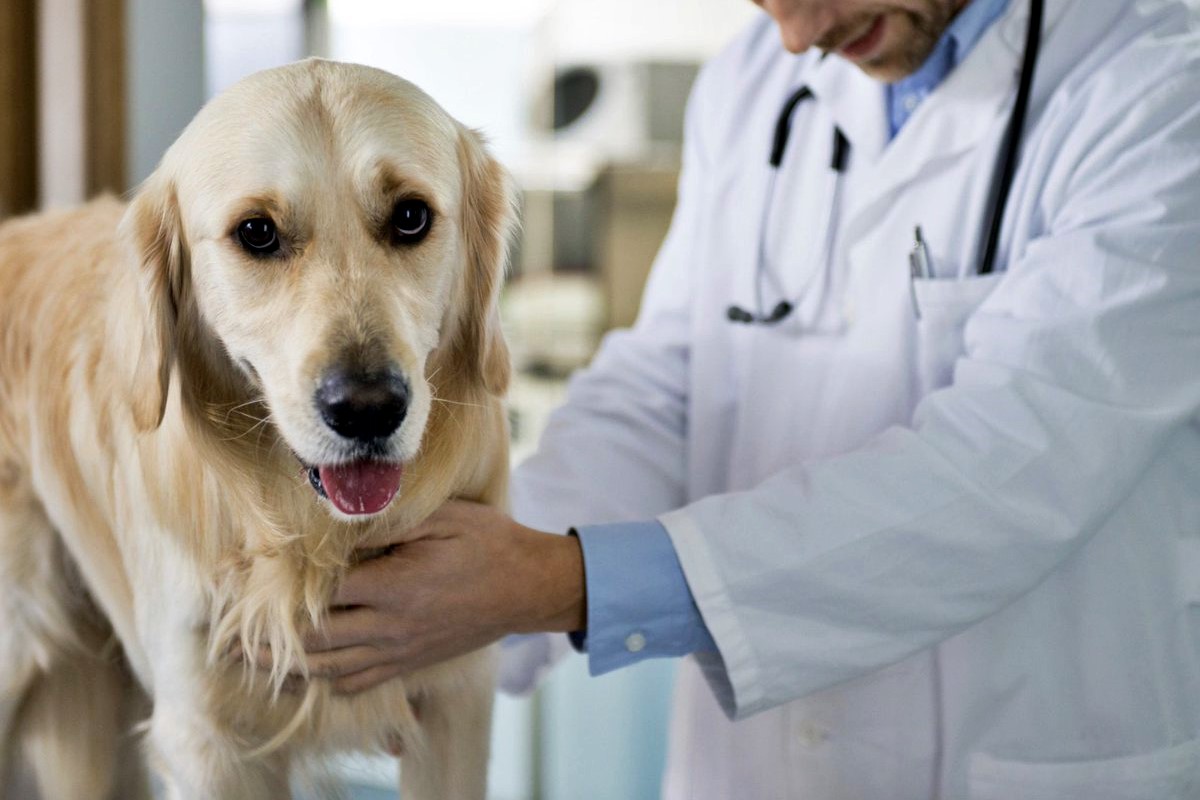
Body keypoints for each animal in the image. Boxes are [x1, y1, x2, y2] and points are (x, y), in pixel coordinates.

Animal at [0, 57, 511, 800]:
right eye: (257, 233)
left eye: (411, 216)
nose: (367, 407)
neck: (313, 540)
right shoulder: (206, 735)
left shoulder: (457, 697)